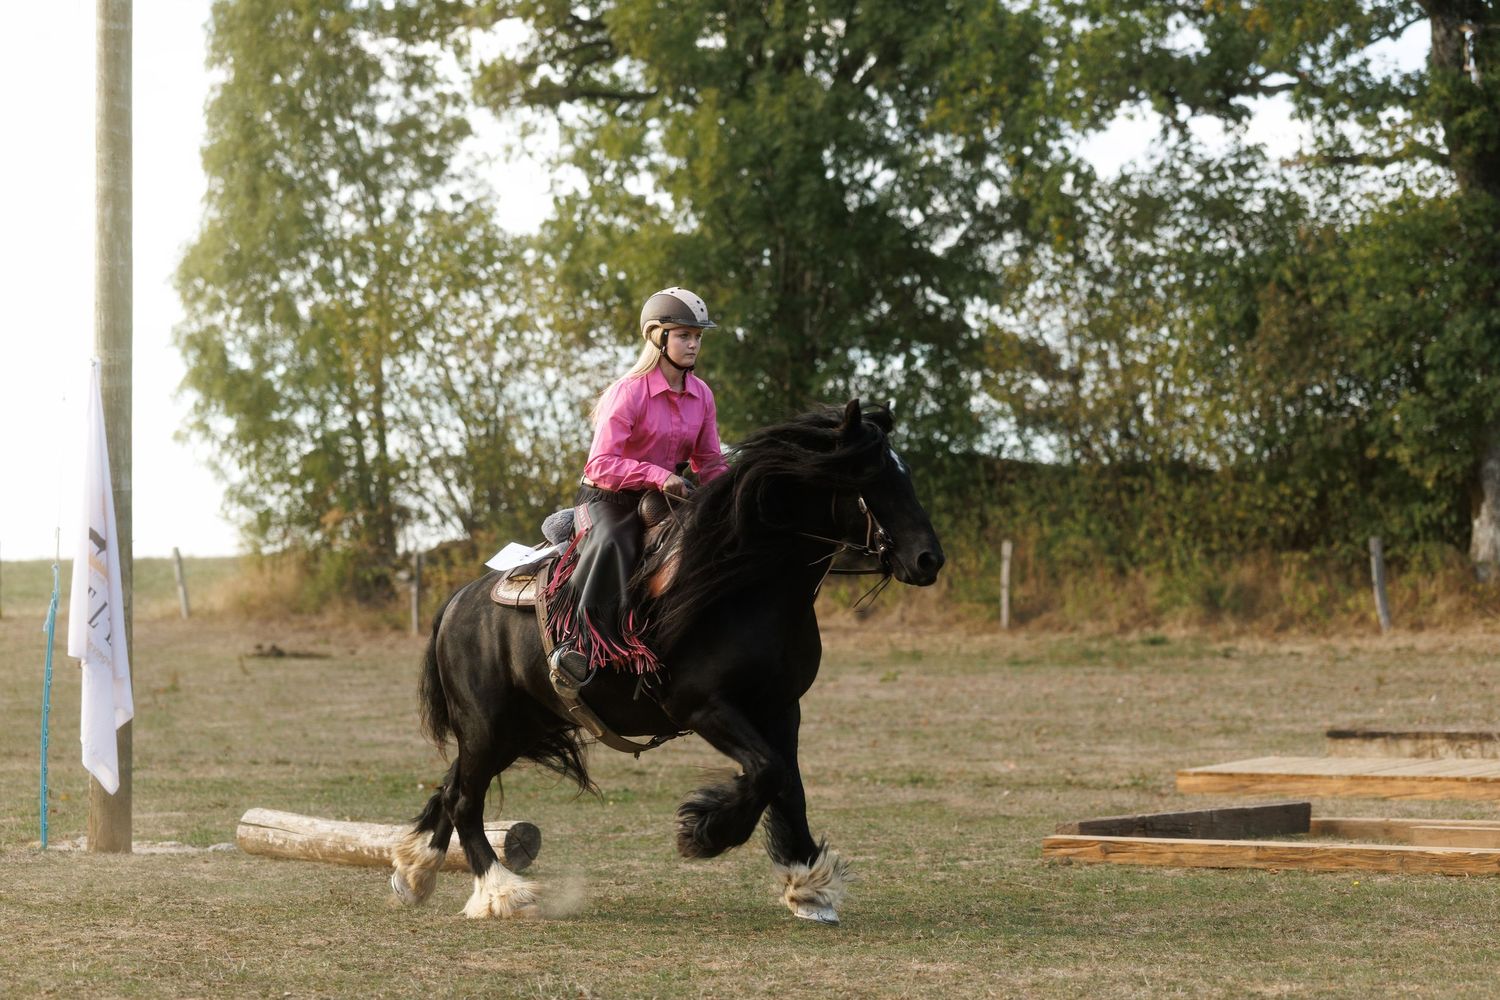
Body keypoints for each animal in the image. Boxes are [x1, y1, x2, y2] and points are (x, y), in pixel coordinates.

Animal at [390, 399, 945, 924]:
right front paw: (705, 833)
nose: (929, 559)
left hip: (518, 727)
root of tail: (459, 601)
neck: (747, 584)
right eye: (869, 476)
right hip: (487, 725)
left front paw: (808, 885)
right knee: (466, 799)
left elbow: (789, 783)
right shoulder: (703, 706)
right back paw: (500, 891)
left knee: (452, 787)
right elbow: (767, 771)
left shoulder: (782, 707)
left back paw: (415, 872)